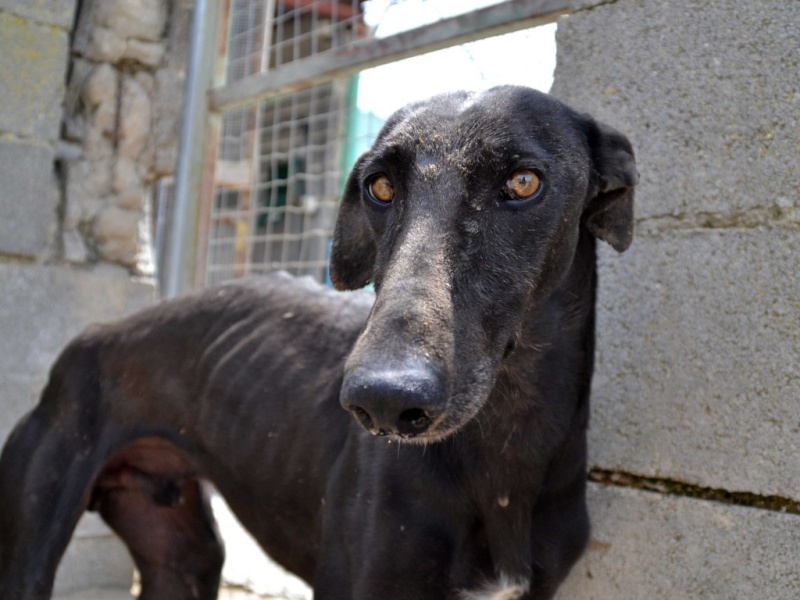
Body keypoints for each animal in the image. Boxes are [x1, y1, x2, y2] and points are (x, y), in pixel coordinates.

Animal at [0, 85, 636, 600]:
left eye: (523, 182)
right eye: (379, 186)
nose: (383, 400)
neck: (506, 452)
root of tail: (93, 335)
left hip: (180, 556)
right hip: (33, 535)